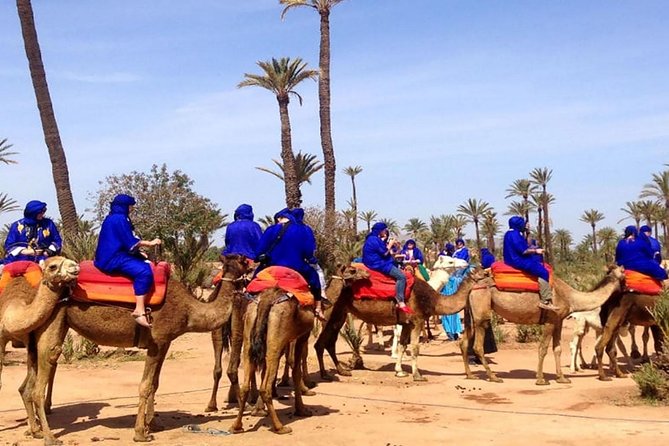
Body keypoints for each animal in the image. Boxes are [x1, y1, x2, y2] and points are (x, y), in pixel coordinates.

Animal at [0, 258, 79, 432]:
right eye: (53, 266)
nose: (75, 266)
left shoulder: (29, 338)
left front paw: (35, 427)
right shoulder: (1, 338)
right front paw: (34, 426)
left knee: (52, 363)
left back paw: (46, 408)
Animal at [27, 254, 249, 446]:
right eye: (245, 261)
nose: (255, 265)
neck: (190, 312)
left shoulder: (164, 343)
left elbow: (155, 384)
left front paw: (154, 424)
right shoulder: (158, 341)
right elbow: (145, 385)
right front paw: (141, 433)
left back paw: (35, 430)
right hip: (55, 318)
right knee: (42, 376)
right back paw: (49, 437)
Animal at [228, 264, 366, 434]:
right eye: (353, 270)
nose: (367, 274)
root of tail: (266, 298)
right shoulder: (302, 335)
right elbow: (296, 364)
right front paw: (302, 404)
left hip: (250, 331)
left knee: (246, 380)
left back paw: (237, 425)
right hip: (275, 335)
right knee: (266, 382)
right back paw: (279, 426)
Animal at [314, 266, 480, 382]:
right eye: (482, 273)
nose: (487, 272)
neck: (433, 300)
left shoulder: (406, 323)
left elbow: (402, 345)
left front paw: (399, 371)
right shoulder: (417, 320)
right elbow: (415, 348)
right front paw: (418, 375)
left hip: (339, 314)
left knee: (329, 342)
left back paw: (342, 371)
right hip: (330, 312)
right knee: (320, 343)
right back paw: (325, 375)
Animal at [460, 266, 628, 386]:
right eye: (624, 273)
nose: (629, 286)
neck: (571, 297)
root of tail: (472, 287)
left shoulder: (558, 321)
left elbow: (558, 349)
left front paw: (562, 378)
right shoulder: (550, 320)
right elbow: (543, 348)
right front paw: (541, 379)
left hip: (471, 315)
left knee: (464, 342)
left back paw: (470, 375)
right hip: (481, 313)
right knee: (478, 345)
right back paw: (493, 377)